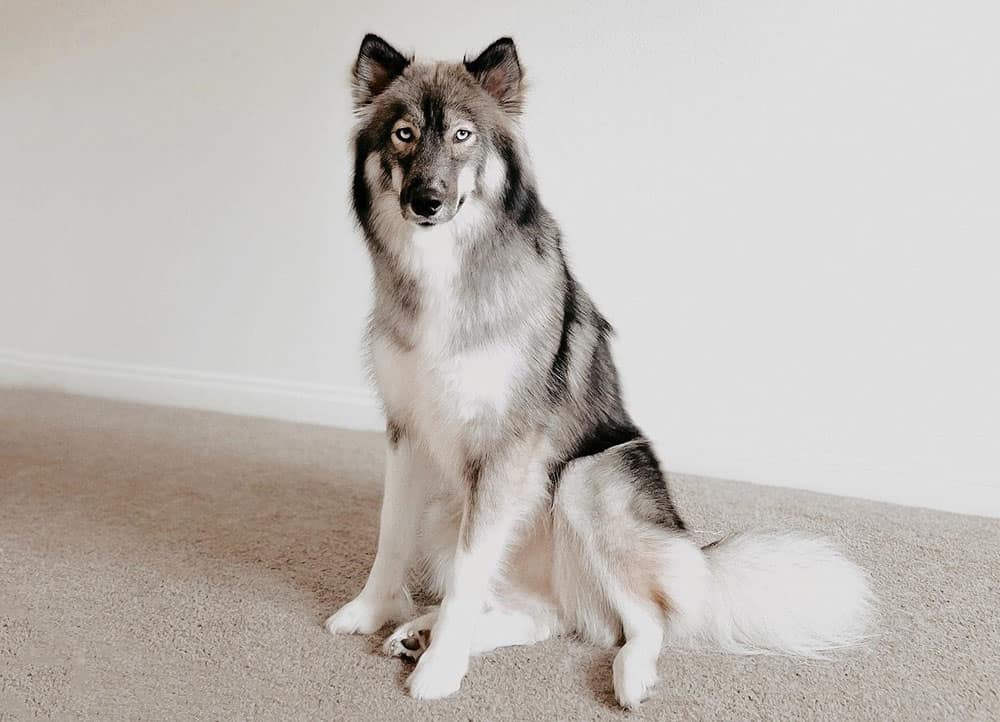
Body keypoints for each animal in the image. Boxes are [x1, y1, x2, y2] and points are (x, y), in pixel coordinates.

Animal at [324, 33, 872, 704]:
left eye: (461, 135)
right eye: (403, 134)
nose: (426, 201)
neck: (444, 268)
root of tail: (694, 550)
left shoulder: (503, 451)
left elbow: (467, 578)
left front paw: (441, 668)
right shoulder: (407, 432)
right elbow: (390, 533)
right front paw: (373, 611)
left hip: (584, 481)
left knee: (643, 620)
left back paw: (627, 674)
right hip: (453, 509)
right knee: (536, 617)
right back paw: (420, 630)